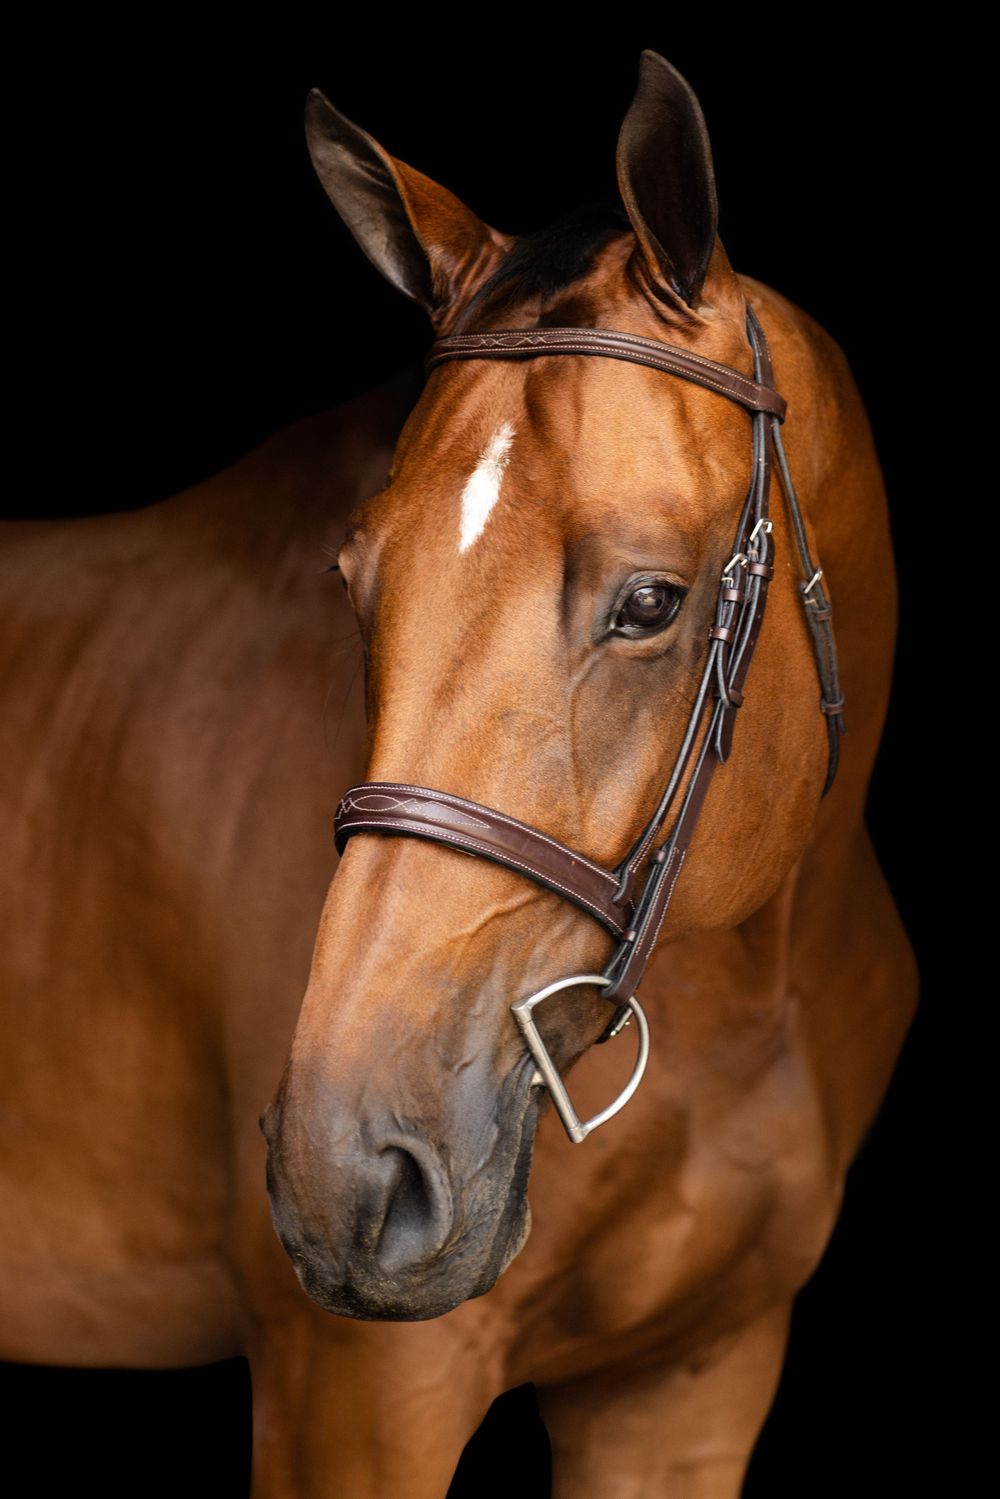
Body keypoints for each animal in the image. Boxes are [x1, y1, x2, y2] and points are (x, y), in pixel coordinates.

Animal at [0, 48, 918, 1497]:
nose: (345, 1177)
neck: (747, 990)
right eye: (355, 581)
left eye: (650, 600)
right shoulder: (359, 1405)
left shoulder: (687, 1386)